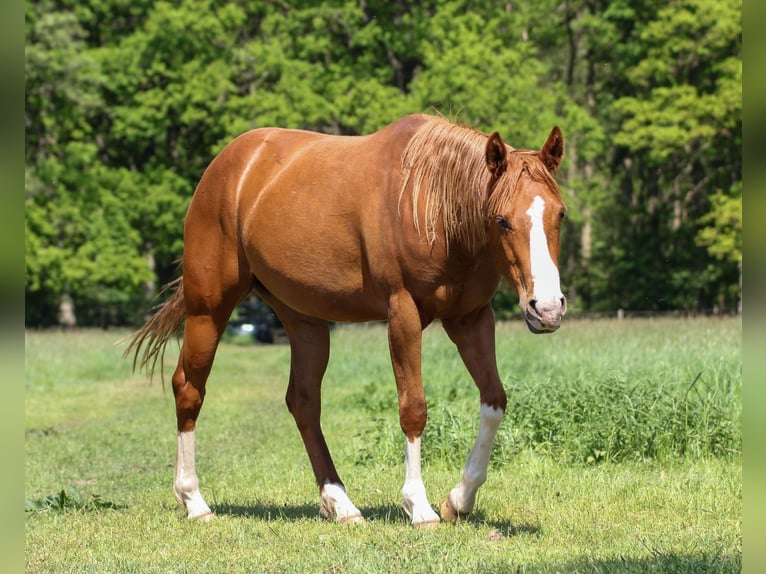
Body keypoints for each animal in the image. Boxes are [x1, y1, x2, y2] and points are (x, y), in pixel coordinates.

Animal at [126, 113, 567, 527]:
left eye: (560, 215)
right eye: (501, 219)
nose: (547, 308)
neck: (431, 204)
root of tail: (226, 165)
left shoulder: (470, 318)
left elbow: (494, 401)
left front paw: (459, 500)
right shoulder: (402, 313)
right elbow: (414, 408)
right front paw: (419, 507)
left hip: (304, 320)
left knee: (303, 402)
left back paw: (340, 503)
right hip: (208, 308)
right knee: (189, 389)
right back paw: (194, 500)